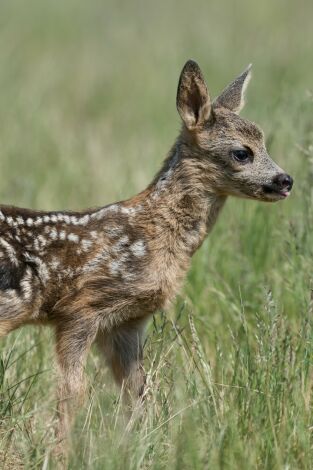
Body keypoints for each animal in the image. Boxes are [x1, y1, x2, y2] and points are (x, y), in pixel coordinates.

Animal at [0, 60, 292, 442]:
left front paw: (145, 442)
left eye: (265, 143)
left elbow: (139, 391)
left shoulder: (127, 321)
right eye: (243, 152)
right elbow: (71, 392)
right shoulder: (79, 308)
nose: (286, 180)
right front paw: (60, 448)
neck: (152, 234)